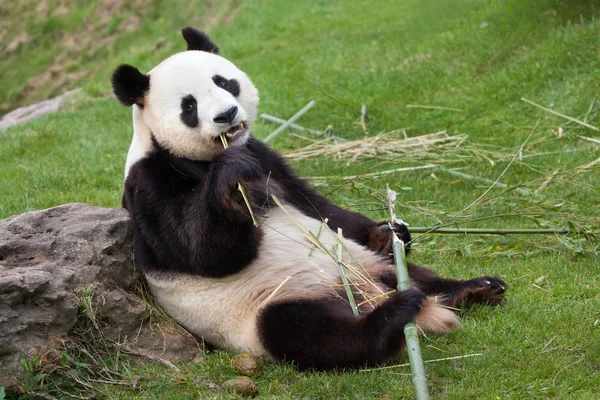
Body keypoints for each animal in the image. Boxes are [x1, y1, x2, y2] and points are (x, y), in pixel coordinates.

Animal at [112, 28, 506, 370]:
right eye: (189, 107)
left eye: (223, 82)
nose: (226, 115)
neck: (200, 158)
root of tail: (361, 294)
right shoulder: (149, 181)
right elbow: (199, 250)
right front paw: (233, 179)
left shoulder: (267, 158)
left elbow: (318, 207)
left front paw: (389, 231)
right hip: (265, 305)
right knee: (308, 332)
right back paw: (393, 318)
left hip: (361, 264)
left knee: (413, 274)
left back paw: (473, 289)